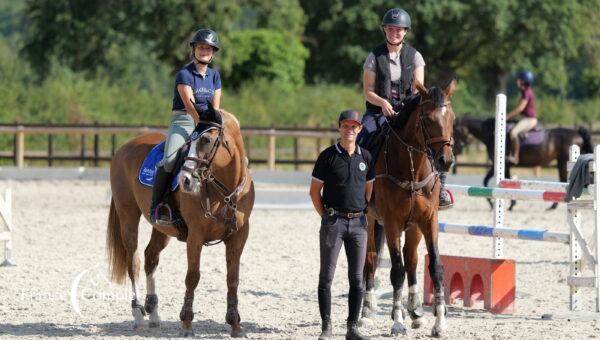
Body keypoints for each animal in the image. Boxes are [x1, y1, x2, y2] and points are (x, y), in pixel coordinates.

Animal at [106, 109, 254, 338]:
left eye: (206, 140)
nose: (185, 180)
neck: (226, 192)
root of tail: (125, 147)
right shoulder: (195, 236)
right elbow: (192, 277)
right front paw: (186, 323)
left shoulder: (239, 236)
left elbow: (233, 279)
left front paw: (235, 325)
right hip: (127, 214)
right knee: (134, 262)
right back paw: (138, 314)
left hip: (161, 228)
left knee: (150, 257)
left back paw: (153, 313)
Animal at [358, 80, 458, 338]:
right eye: (427, 119)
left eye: (452, 117)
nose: (445, 160)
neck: (412, 167)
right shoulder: (392, 222)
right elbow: (396, 271)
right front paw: (397, 322)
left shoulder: (429, 220)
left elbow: (435, 267)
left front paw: (439, 323)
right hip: (371, 220)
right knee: (371, 260)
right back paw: (366, 312)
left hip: (414, 226)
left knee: (411, 258)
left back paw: (414, 310)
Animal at [454, 116, 592, 210]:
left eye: (456, 131)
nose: (456, 150)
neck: (492, 134)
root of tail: (578, 133)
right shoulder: (500, 165)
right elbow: (495, 181)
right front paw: (500, 204)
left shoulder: (501, 165)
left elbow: (489, 181)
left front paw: (502, 204)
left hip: (562, 163)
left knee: (563, 181)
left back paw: (553, 206)